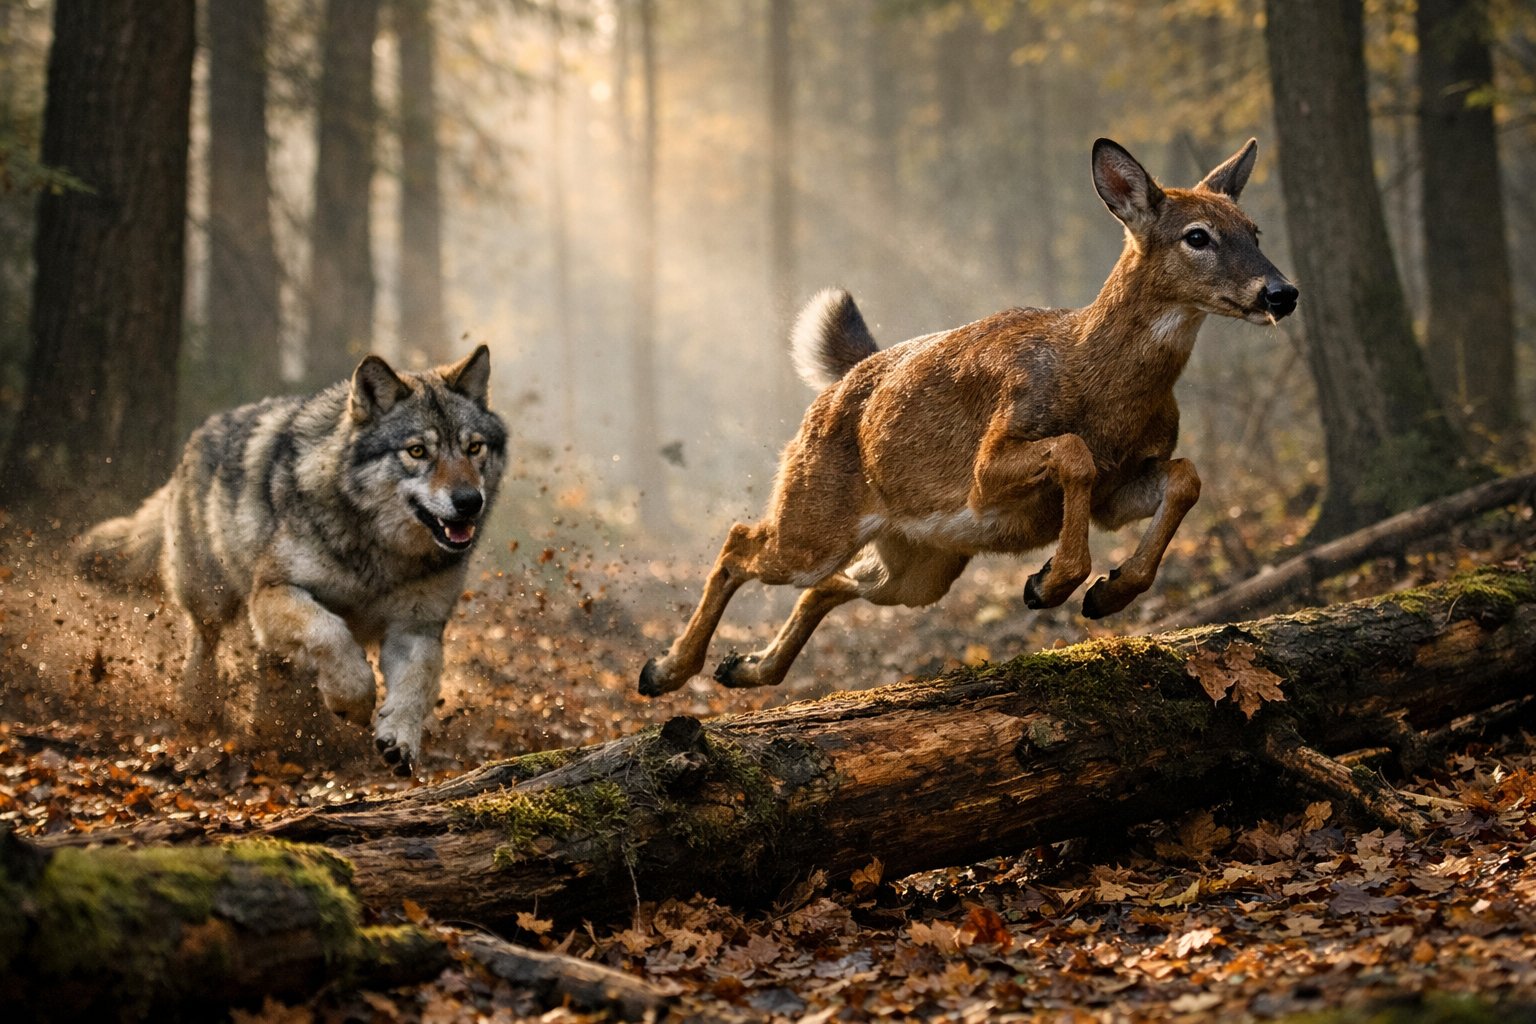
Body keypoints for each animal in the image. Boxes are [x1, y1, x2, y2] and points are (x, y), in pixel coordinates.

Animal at [78, 346, 506, 773]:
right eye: (417, 451)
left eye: (474, 448)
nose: (469, 501)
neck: (379, 552)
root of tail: (202, 432)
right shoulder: (274, 592)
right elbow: (331, 633)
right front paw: (352, 700)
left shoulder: (416, 627)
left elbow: (416, 684)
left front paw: (399, 738)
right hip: (211, 597)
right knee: (203, 641)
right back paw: (200, 709)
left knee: (269, 663)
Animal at [638, 137, 1298, 697]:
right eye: (1197, 236)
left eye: (1255, 230)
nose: (1282, 293)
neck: (1097, 382)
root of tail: (847, 378)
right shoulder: (988, 468)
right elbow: (1073, 453)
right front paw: (1054, 581)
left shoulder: (1123, 486)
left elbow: (1187, 476)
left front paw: (1108, 591)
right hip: (817, 524)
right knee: (739, 541)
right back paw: (665, 671)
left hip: (920, 568)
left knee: (829, 583)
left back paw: (744, 667)